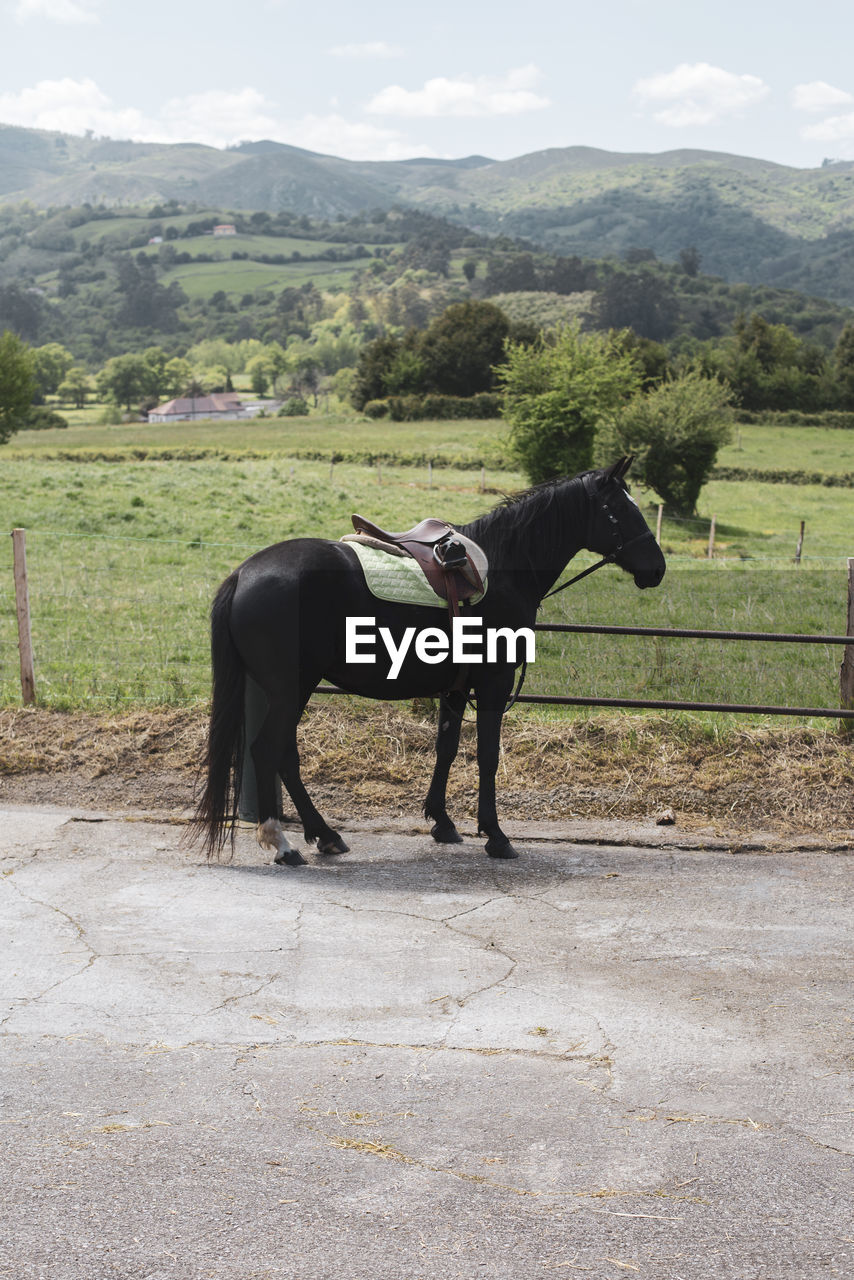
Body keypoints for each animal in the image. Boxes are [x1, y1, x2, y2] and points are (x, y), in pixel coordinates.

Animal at [193, 455, 665, 865]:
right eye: (618, 510)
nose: (657, 569)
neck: (505, 568)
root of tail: (244, 573)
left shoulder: (456, 689)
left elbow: (447, 749)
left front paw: (442, 822)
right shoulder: (492, 683)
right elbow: (488, 755)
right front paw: (496, 836)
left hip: (293, 689)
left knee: (285, 756)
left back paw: (324, 835)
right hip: (292, 687)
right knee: (267, 750)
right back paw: (283, 843)